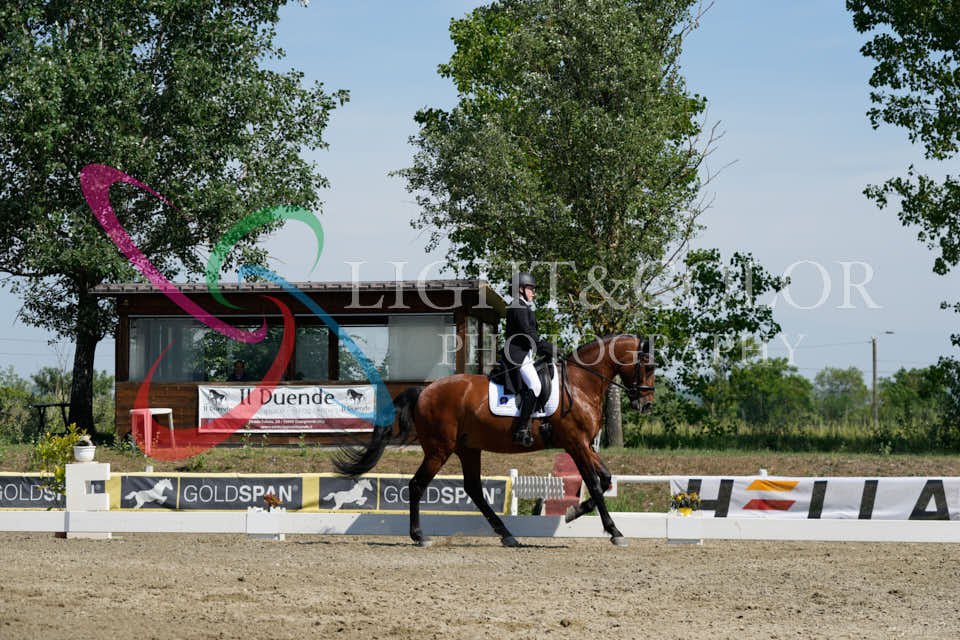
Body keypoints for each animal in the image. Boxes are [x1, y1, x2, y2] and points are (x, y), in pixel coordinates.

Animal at [334, 334, 655, 547]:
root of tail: (424, 391)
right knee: (417, 485)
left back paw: (508, 535)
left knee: (474, 489)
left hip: (467, 448)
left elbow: (606, 479)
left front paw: (574, 512)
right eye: (648, 367)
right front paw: (614, 532)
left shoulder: (585, 444)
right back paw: (419, 536)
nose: (646, 405)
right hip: (439, 449)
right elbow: (596, 485)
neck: (579, 383)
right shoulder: (576, 443)